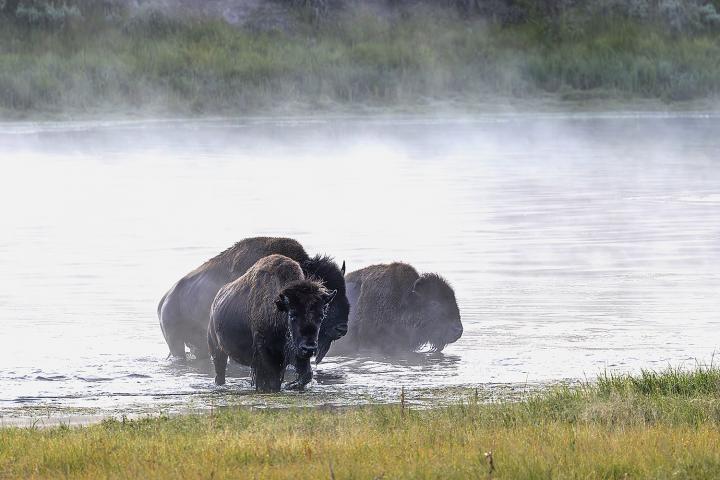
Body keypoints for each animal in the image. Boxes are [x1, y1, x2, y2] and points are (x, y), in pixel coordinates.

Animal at [205, 253, 334, 392]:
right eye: (292, 315)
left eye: (321, 316)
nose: (309, 348)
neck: (280, 307)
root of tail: (215, 303)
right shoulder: (266, 354)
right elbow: (271, 380)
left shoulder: (294, 353)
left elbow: (306, 374)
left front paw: (290, 385)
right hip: (217, 349)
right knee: (220, 371)